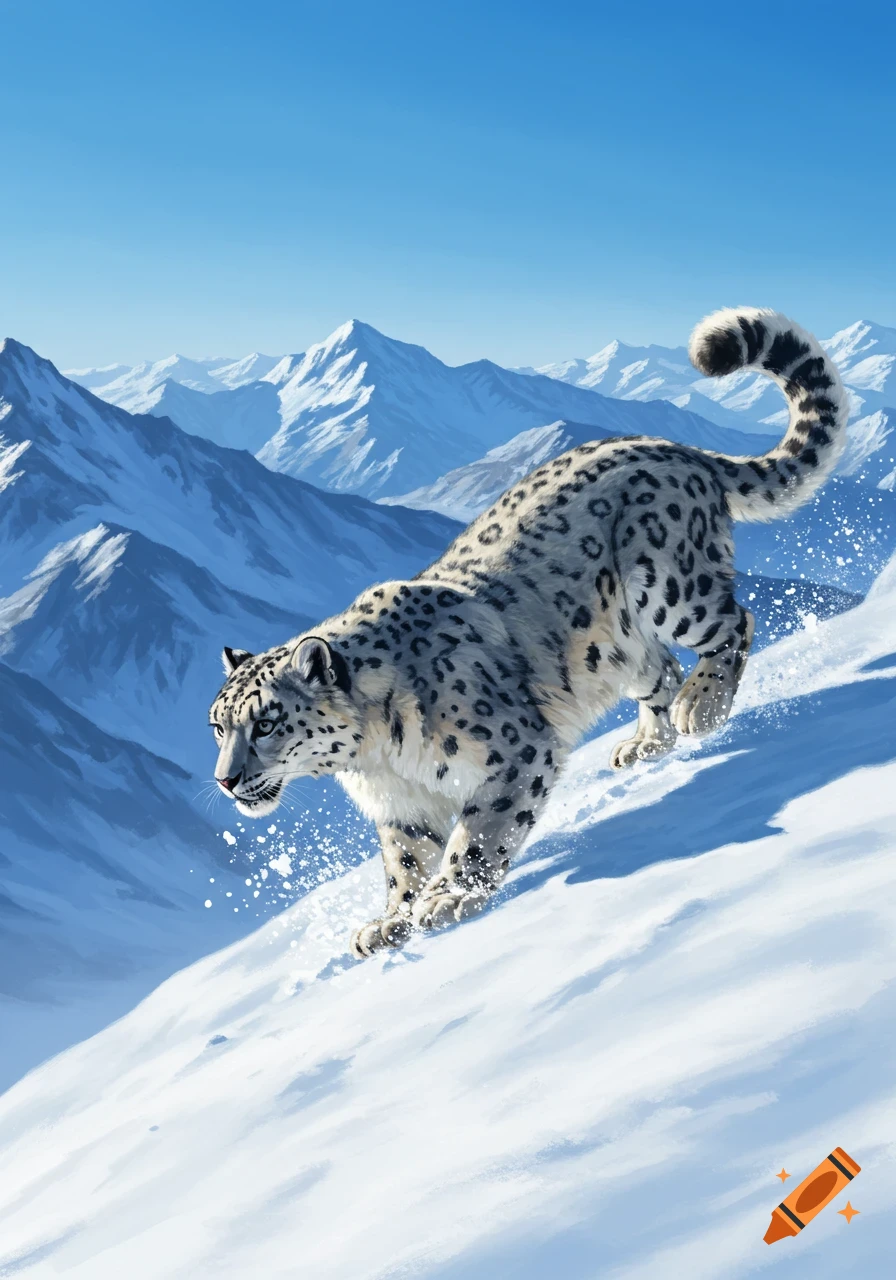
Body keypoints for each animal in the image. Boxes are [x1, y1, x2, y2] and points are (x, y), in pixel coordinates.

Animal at [209, 307, 848, 958]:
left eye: (266, 722)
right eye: (217, 726)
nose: (226, 781)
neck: (375, 757)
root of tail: (672, 447)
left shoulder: (513, 751)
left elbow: (480, 829)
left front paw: (449, 897)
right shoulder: (401, 806)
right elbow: (403, 861)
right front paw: (389, 921)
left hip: (672, 586)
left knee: (735, 622)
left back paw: (703, 705)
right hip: (615, 647)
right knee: (661, 667)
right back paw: (645, 742)